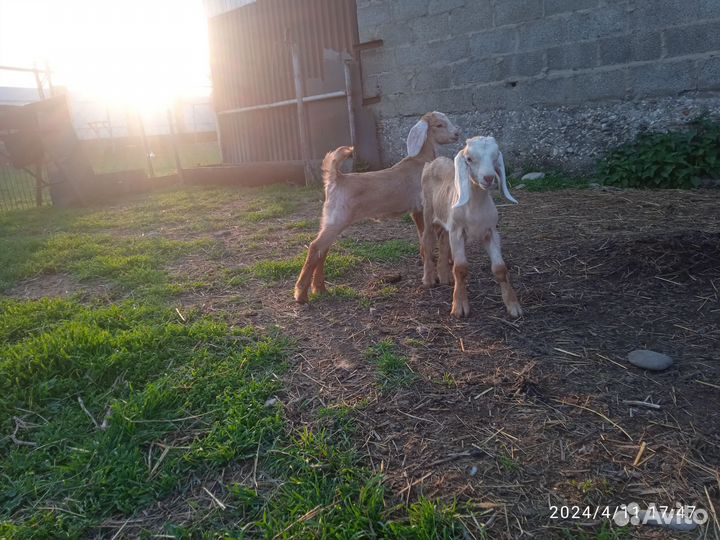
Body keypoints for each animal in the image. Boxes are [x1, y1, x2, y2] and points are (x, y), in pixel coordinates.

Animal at [294, 111, 460, 304]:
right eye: (439, 125)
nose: (457, 134)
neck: (421, 161)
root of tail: (336, 177)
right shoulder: (423, 206)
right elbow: (427, 238)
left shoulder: (416, 210)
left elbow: (422, 237)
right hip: (338, 217)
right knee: (315, 247)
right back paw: (301, 293)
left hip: (329, 218)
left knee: (323, 249)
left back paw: (319, 289)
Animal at [421, 136, 522, 318]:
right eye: (469, 159)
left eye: (495, 156)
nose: (488, 178)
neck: (475, 205)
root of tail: (436, 160)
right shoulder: (457, 232)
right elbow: (460, 268)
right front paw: (459, 307)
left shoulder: (491, 232)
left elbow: (500, 268)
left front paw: (513, 306)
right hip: (428, 212)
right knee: (427, 242)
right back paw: (429, 279)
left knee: (443, 242)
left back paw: (445, 277)